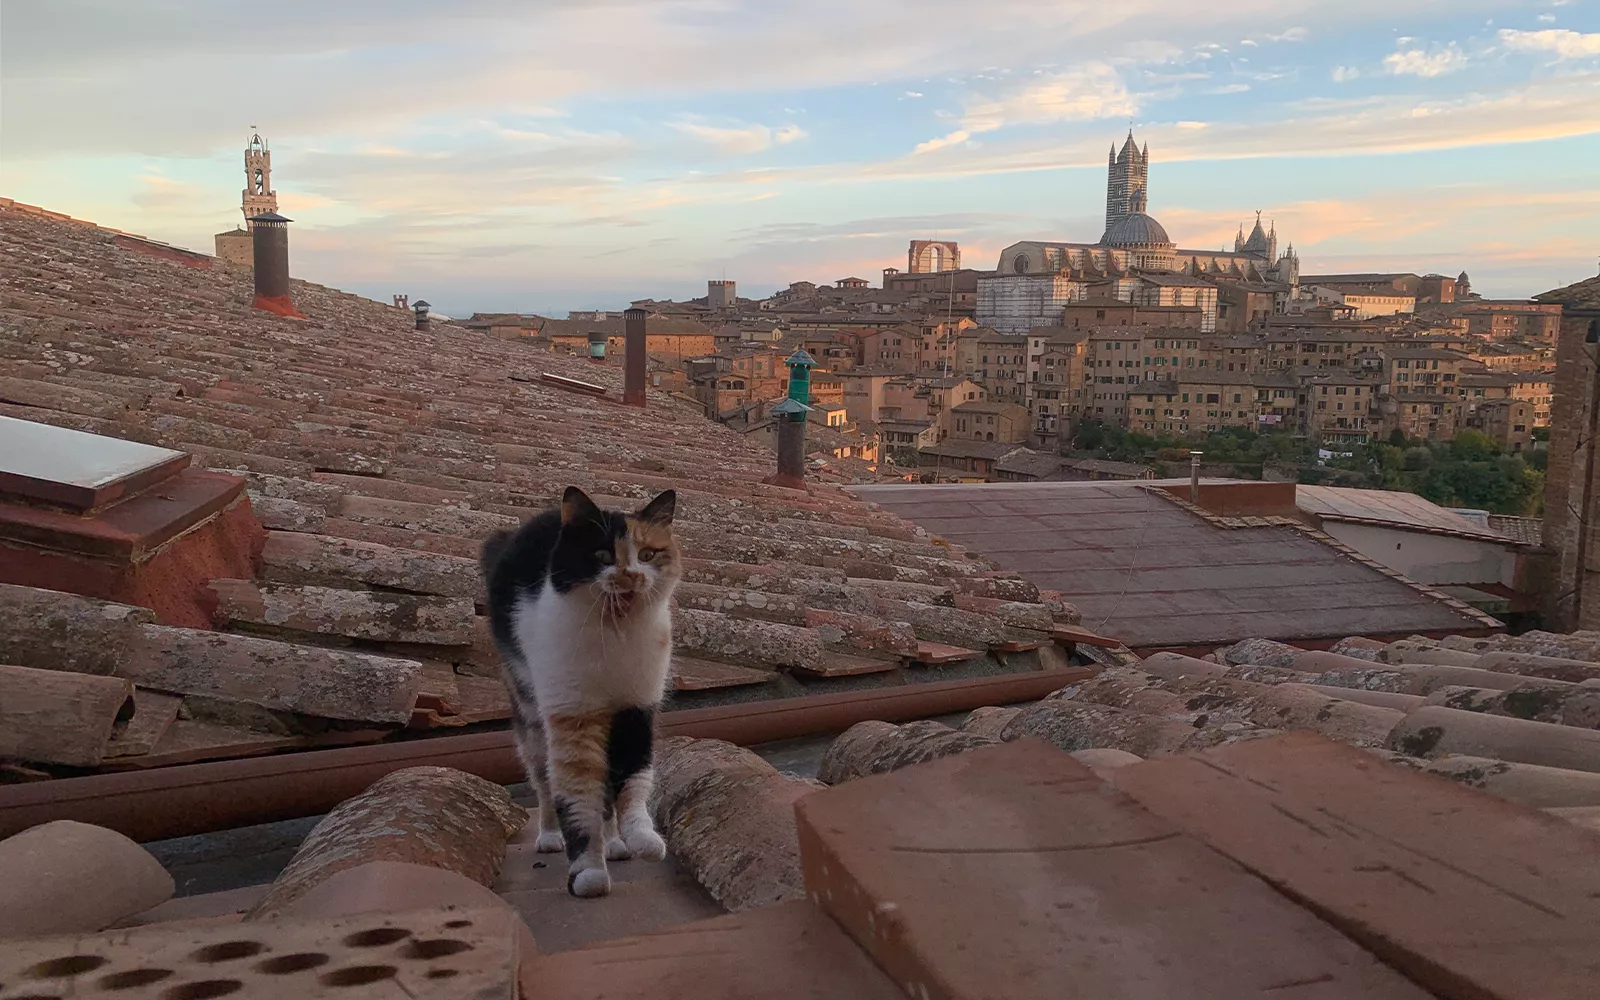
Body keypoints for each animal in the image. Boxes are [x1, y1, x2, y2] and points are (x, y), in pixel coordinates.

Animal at [473, 483, 675, 896]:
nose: (631, 576)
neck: (615, 637)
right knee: (544, 781)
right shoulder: (573, 716)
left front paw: (641, 838)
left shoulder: (636, 709)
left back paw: (615, 843)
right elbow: (578, 796)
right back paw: (551, 836)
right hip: (530, 714)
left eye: (647, 555)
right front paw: (587, 873)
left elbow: (634, 778)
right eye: (602, 556)